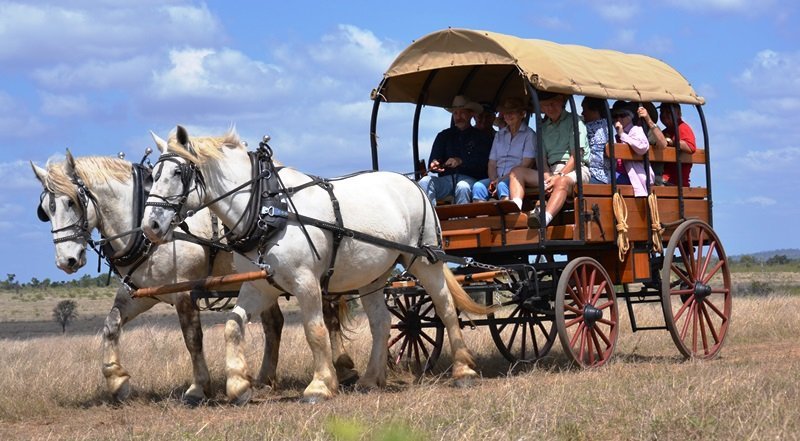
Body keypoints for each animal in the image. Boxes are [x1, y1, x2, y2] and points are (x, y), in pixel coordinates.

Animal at [31, 153, 354, 404]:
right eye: (45, 209)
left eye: (72, 202)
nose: (66, 261)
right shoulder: (142, 294)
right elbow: (111, 326)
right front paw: (117, 381)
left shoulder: (185, 290)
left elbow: (192, 338)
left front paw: (198, 388)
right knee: (274, 324)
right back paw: (264, 378)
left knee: (328, 317)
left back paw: (344, 368)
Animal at [141, 125, 490, 404]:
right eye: (153, 175)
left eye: (177, 174)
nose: (150, 226)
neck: (268, 207)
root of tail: (414, 184)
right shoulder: (259, 285)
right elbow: (232, 325)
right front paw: (240, 385)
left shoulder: (305, 281)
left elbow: (315, 331)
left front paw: (320, 386)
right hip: (373, 274)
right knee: (380, 322)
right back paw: (370, 379)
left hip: (424, 259)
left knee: (445, 307)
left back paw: (463, 370)